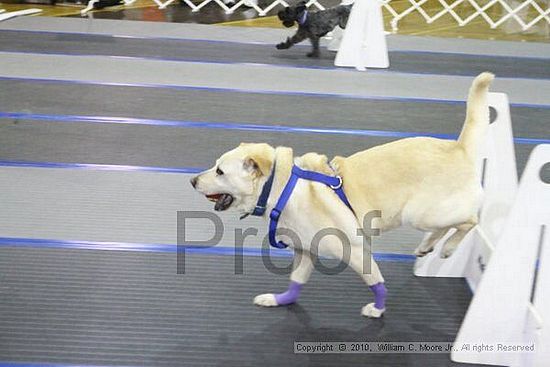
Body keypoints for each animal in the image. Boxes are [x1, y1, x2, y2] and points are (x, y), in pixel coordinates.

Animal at [191, 72, 496, 320]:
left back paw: (448, 248)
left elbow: (376, 281)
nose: (192, 180)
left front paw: (378, 309)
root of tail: (459, 147)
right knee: (450, 225)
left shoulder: (355, 250)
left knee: (470, 221)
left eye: (219, 171)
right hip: (425, 216)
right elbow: (296, 282)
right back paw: (427, 247)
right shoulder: (306, 250)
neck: (281, 188)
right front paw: (278, 300)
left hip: (421, 214)